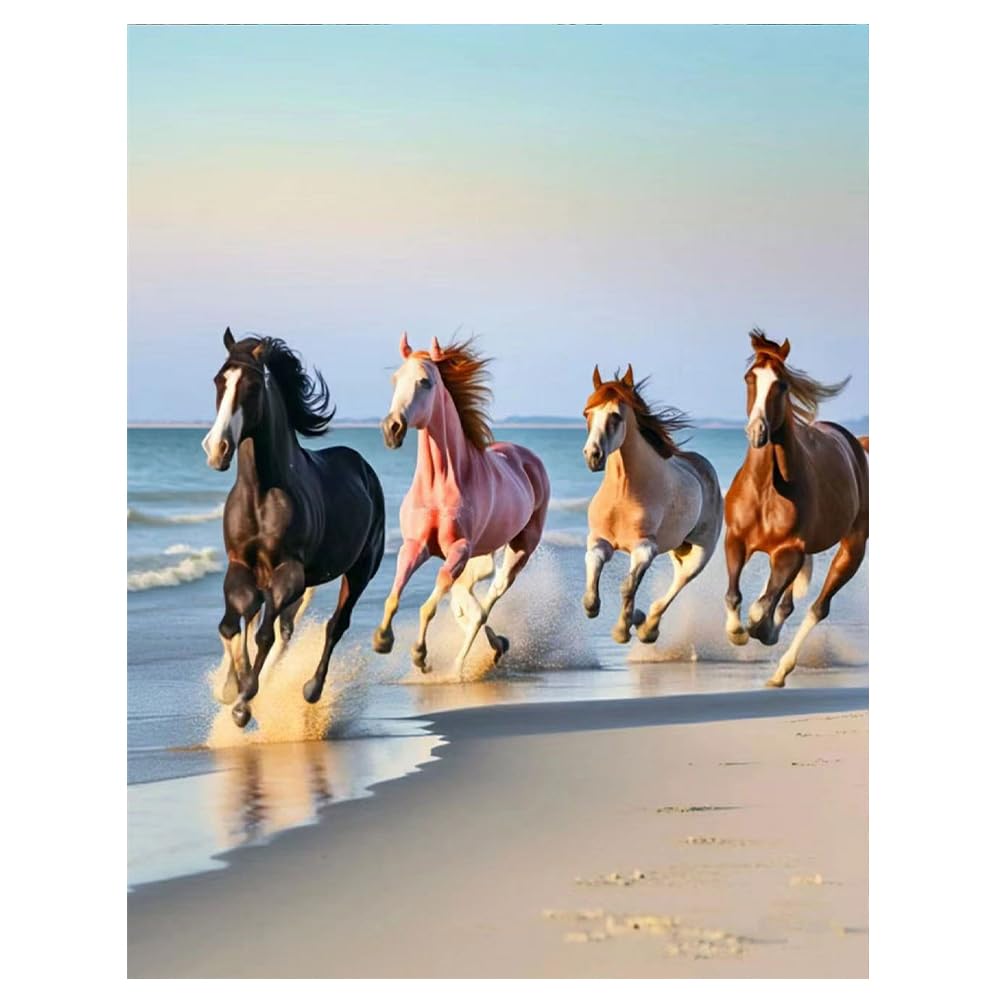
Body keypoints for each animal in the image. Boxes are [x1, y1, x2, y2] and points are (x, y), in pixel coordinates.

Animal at [202, 328, 386, 727]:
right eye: (219, 380)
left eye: (252, 386)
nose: (217, 449)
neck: (261, 492)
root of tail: (363, 468)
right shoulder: (240, 566)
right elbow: (232, 624)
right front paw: (230, 688)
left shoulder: (288, 572)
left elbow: (263, 635)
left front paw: (243, 703)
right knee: (274, 621)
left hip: (359, 571)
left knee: (334, 625)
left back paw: (311, 689)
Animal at [372, 333, 550, 676]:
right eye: (395, 379)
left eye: (425, 382)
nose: (391, 429)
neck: (439, 484)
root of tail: (529, 458)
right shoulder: (415, 546)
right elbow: (393, 595)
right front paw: (382, 640)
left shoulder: (457, 550)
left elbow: (429, 605)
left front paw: (420, 654)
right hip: (480, 557)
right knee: (466, 602)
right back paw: (495, 644)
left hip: (516, 552)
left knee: (486, 602)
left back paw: (463, 664)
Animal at [582, 365, 723, 645]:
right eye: (587, 414)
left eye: (615, 415)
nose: (592, 456)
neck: (623, 494)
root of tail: (704, 467)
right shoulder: (600, 540)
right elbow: (593, 564)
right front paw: (592, 606)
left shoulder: (645, 548)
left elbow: (628, 586)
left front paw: (621, 630)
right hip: (677, 549)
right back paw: (641, 619)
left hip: (699, 554)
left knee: (677, 584)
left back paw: (647, 628)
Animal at [724, 329, 869, 688]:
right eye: (750, 378)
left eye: (782, 384)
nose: (757, 431)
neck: (768, 488)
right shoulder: (736, 540)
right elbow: (735, 596)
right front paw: (738, 633)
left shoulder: (789, 551)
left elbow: (761, 608)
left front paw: (758, 630)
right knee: (786, 602)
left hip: (852, 549)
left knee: (817, 608)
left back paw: (779, 672)